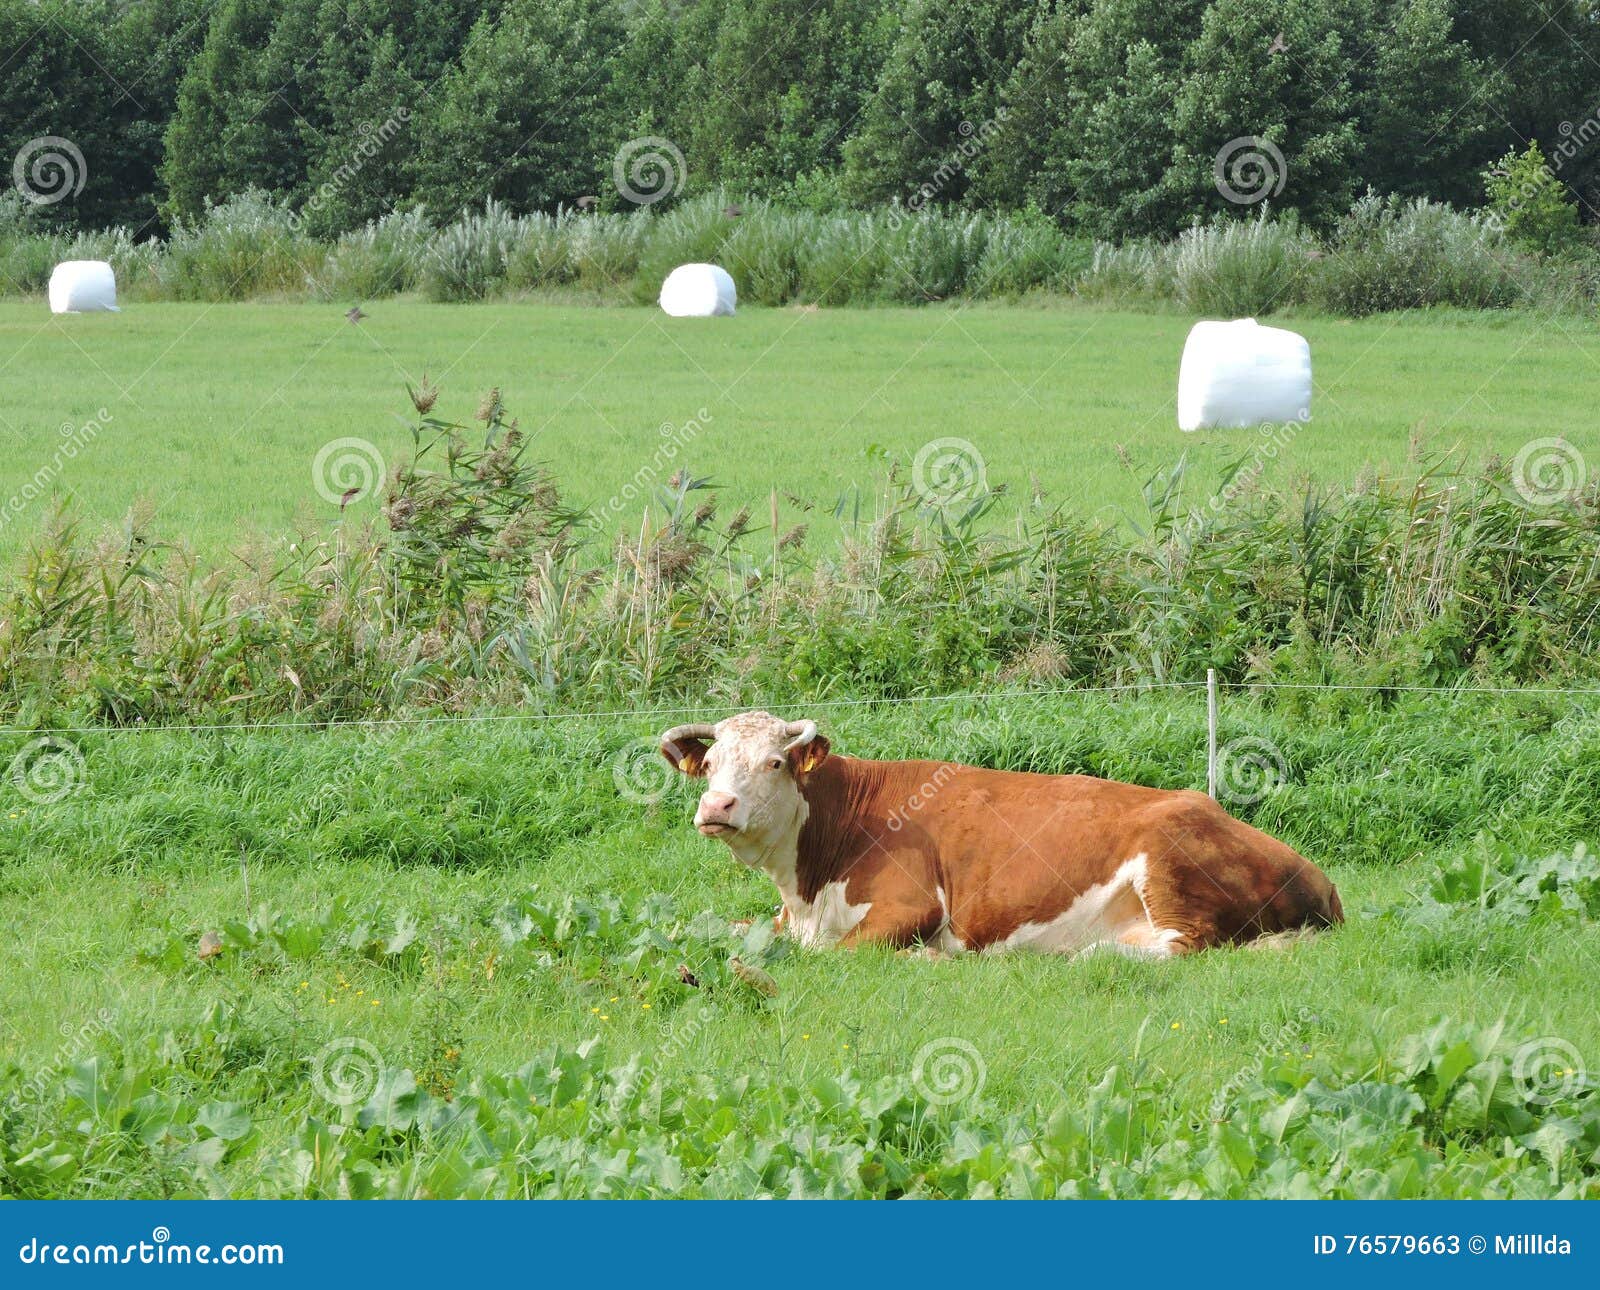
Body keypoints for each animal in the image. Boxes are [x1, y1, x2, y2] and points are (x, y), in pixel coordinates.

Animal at [656, 707, 1344, 960]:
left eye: (774, 762)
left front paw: (932, 957)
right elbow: (701, 927)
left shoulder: (911, 906)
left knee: (1178, 946)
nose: (716, 805)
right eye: (711, 766)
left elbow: (834, 953)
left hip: (1171, 866)